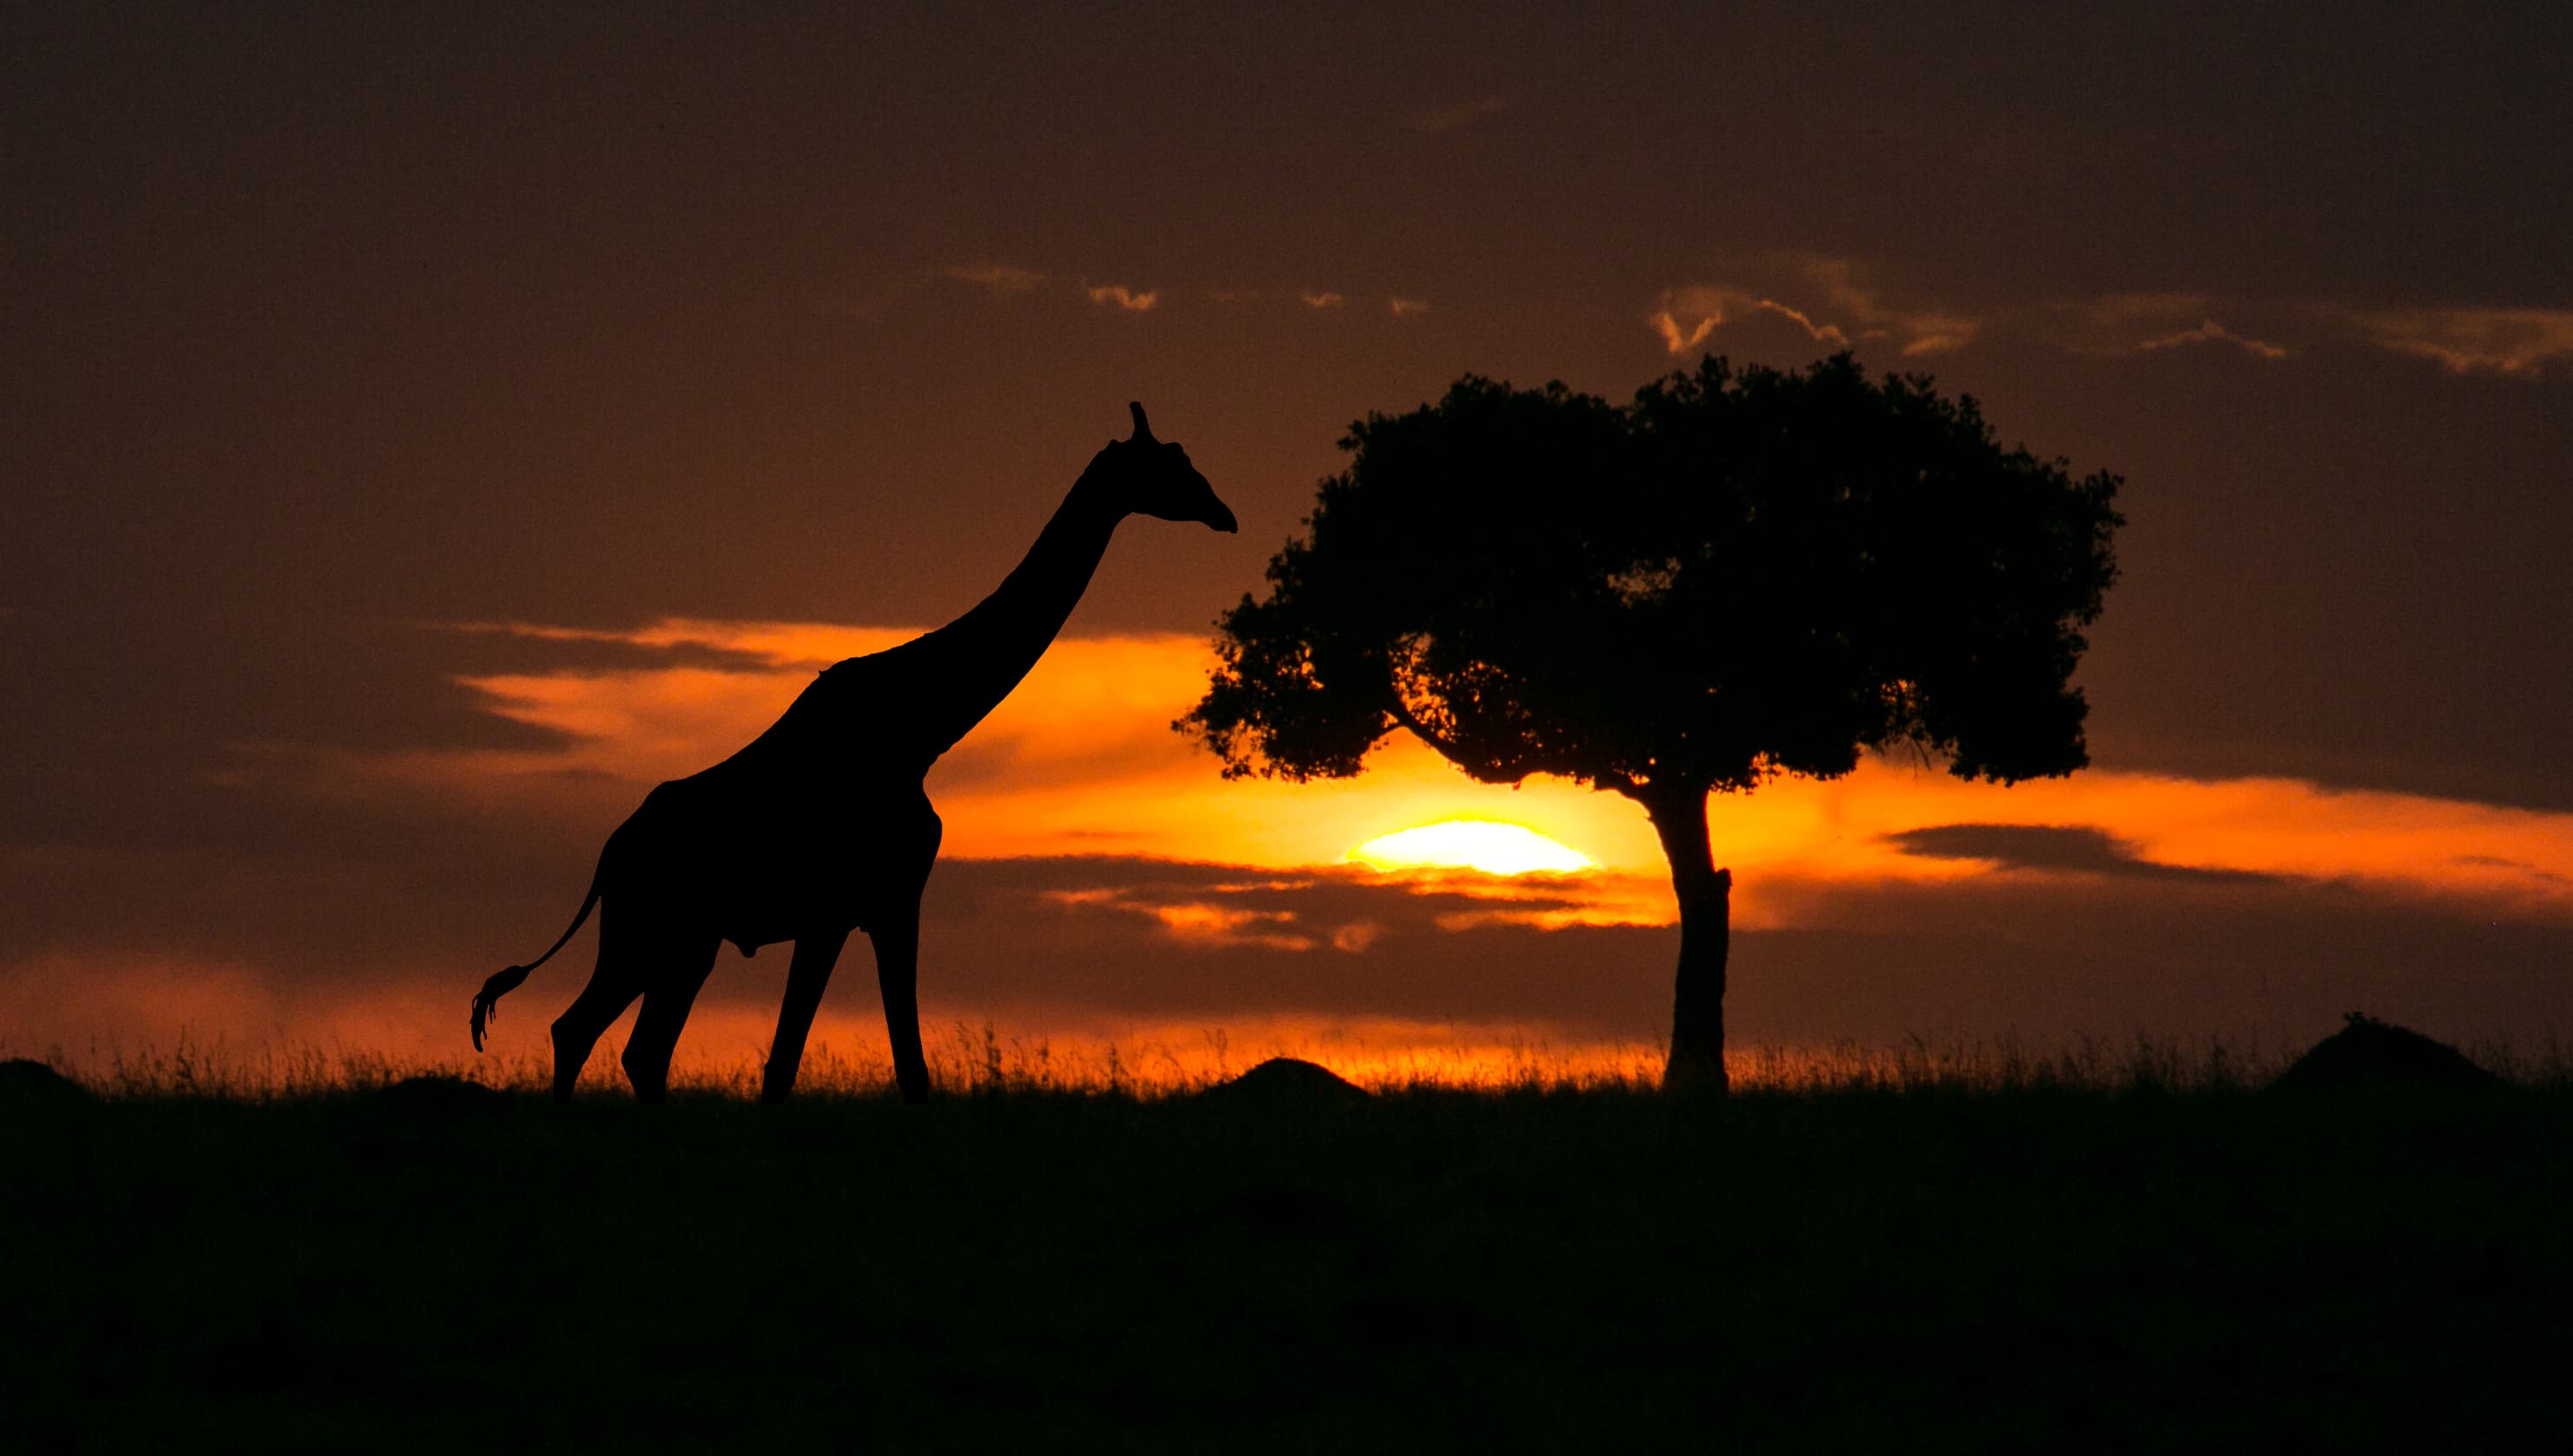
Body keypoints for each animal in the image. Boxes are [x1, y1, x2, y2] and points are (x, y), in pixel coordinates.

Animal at [469, 403, 1236, 1104]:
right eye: (1170, 463)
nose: (1224, 513)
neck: (921, 731)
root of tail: (608, 857)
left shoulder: (870, 905)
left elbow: (869, 1068)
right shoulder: (859, 904)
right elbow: (822, 1066)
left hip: (684, 942)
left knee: (625, 1046)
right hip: (652, 931)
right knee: (588, 1032)